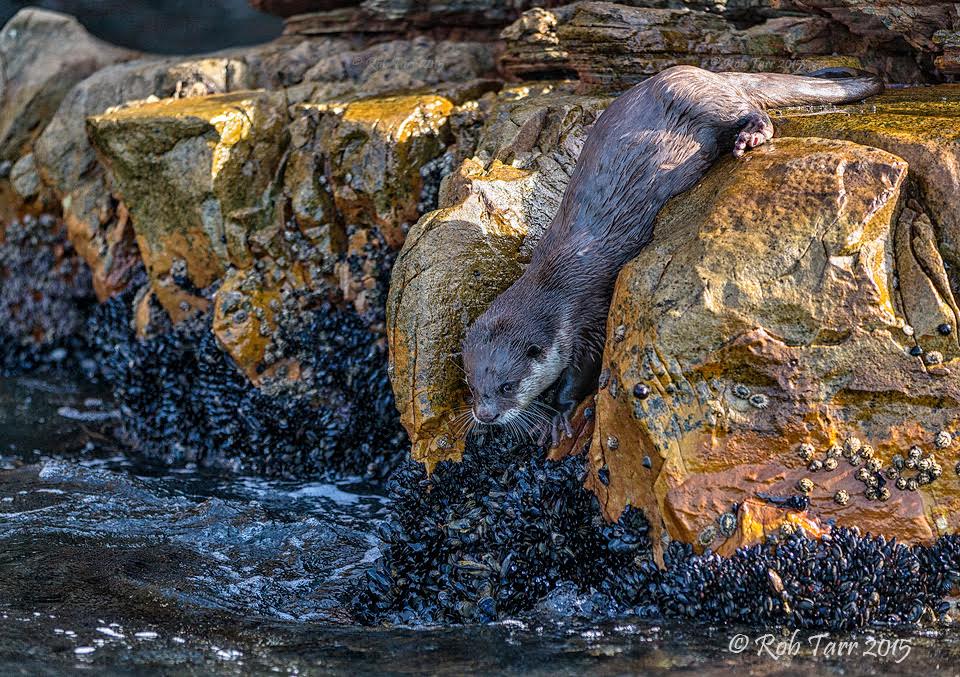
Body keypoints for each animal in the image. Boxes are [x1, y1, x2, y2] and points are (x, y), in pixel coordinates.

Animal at [462, 65, 883, 445]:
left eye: (507, 385)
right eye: (472, 382)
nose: (485, 415)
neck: (555, 283)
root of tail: (707, 72)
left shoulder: (587, 319)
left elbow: (582, 371)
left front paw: (557, 413)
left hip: (700, 99)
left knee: (748, 109)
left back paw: (751, 136)